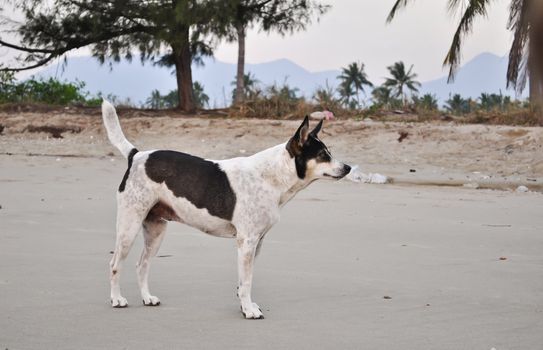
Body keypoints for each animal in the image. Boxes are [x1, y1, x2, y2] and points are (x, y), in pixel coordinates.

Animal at [102, 100, 352, 318]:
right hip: (129, 227)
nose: (348, 168)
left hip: (155, 231)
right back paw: (116, 299)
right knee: (115, 265)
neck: (272, 176)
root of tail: (136, 155)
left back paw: (147, 298)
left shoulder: (256, 242)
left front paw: (246, 306)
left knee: (142, 265)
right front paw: (249, 311)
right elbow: (247, 282)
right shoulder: (247, 242)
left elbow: (244, 282)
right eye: (322, 155)